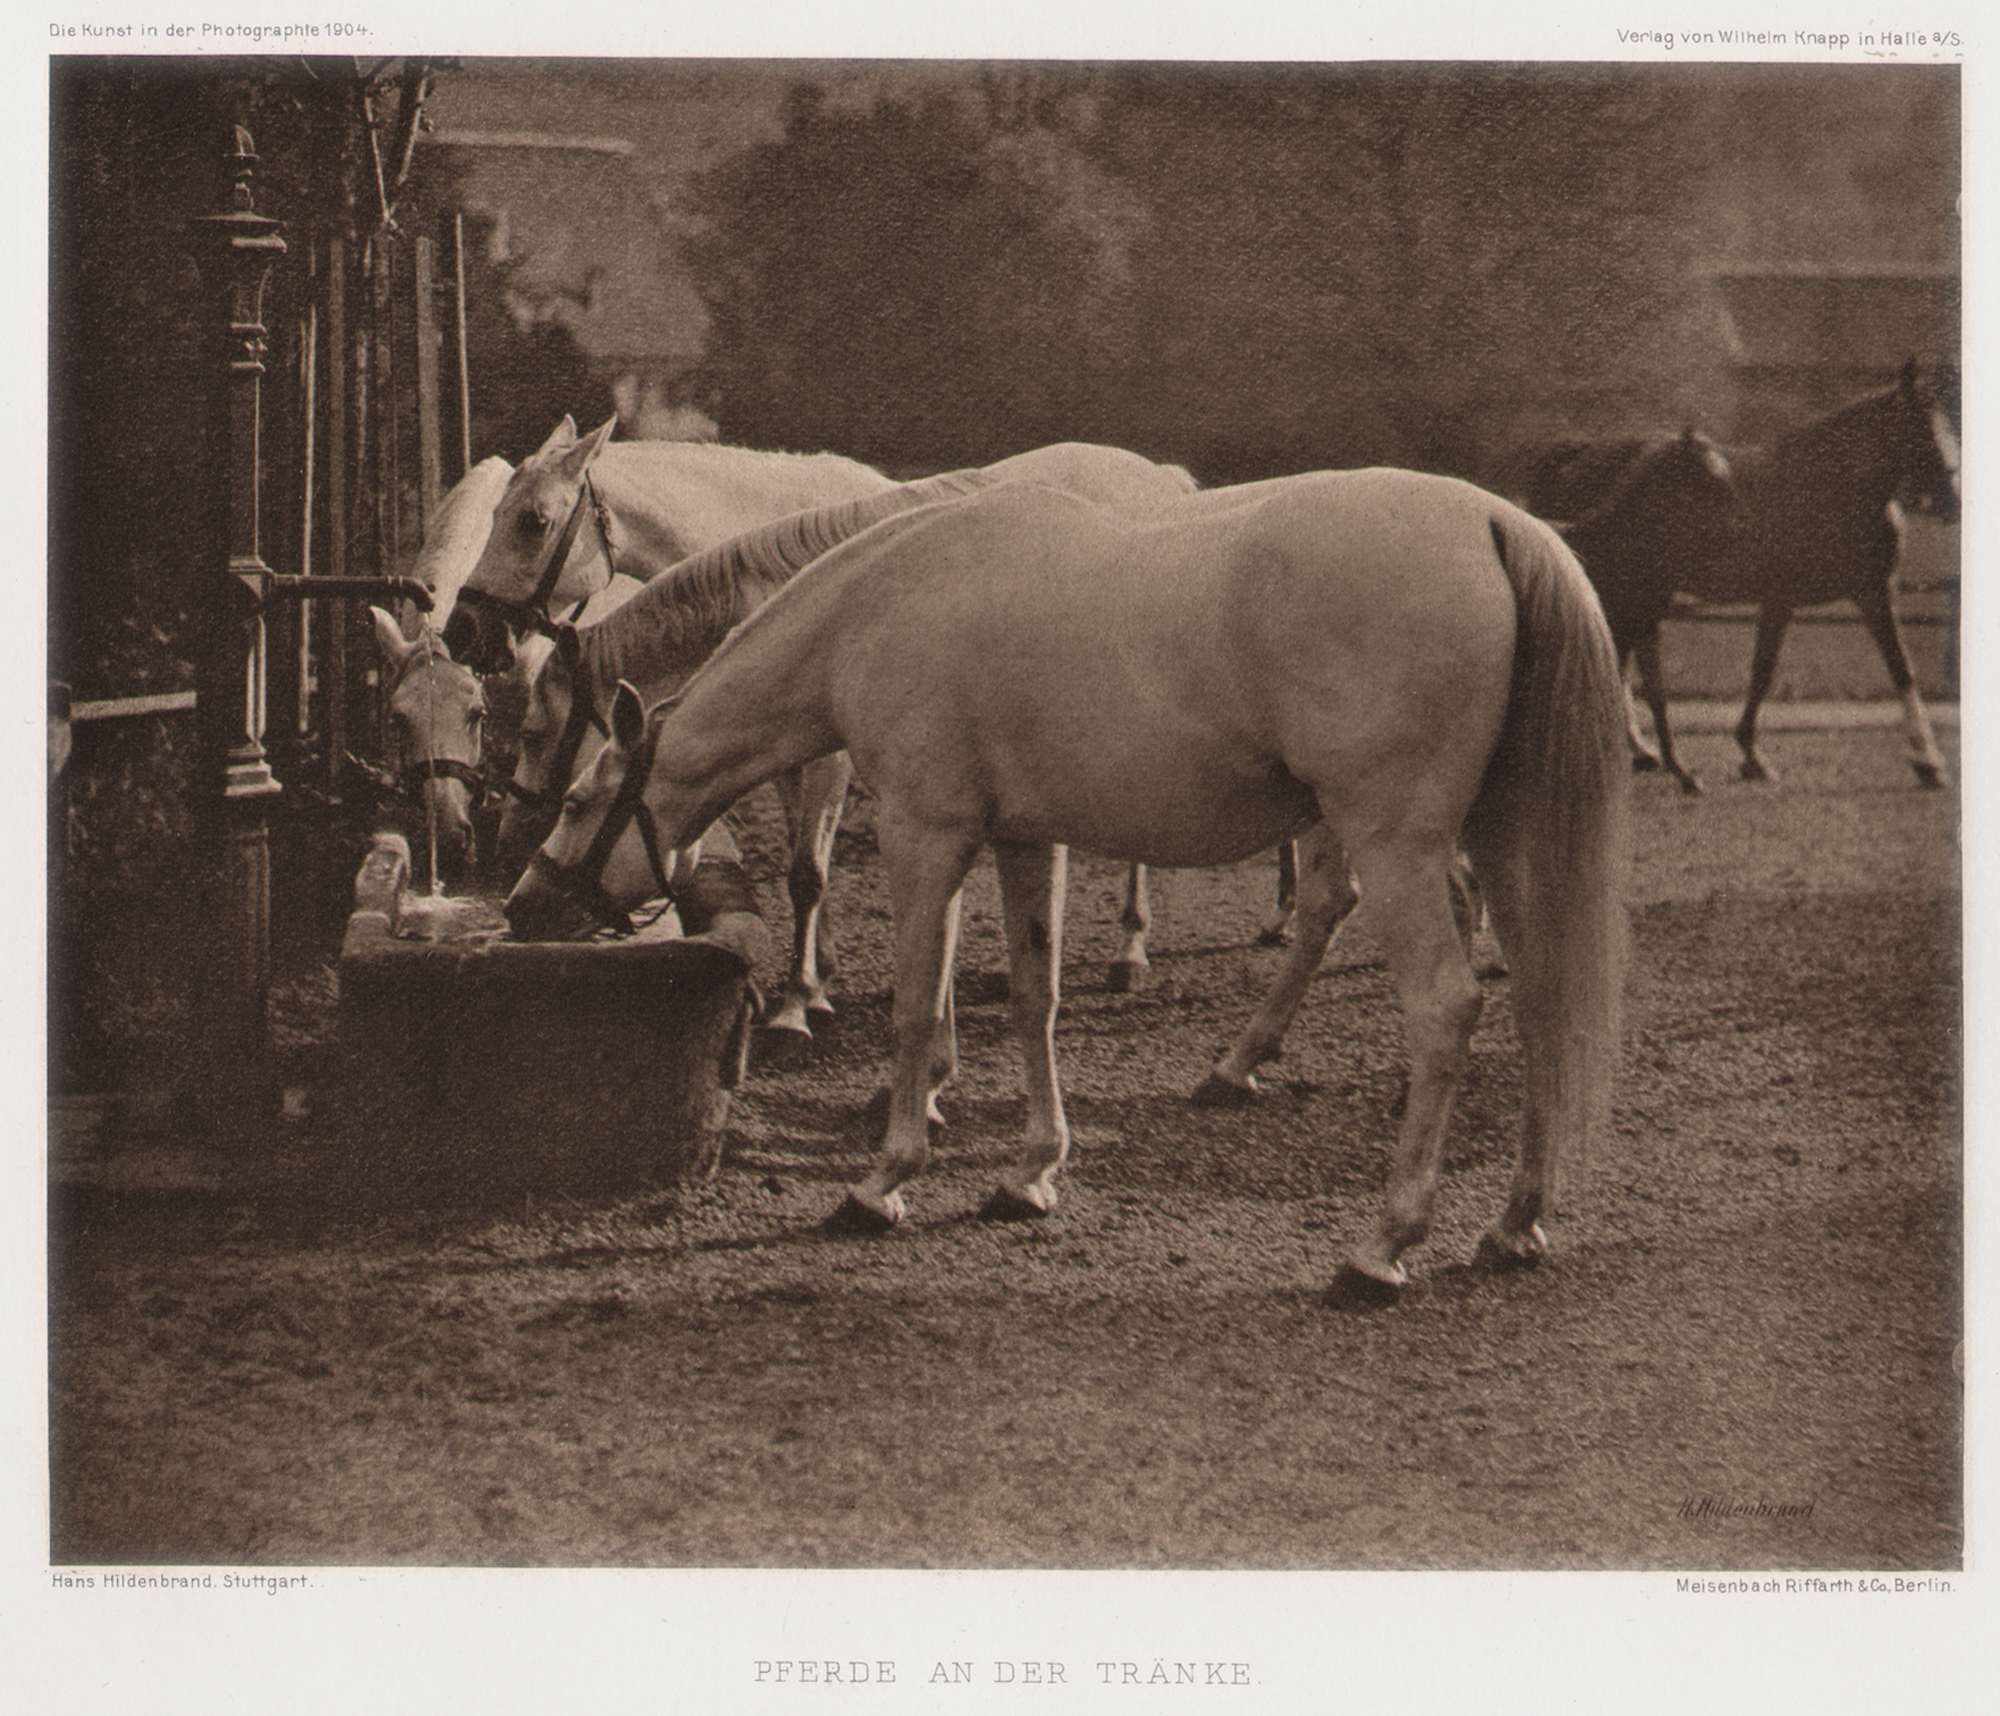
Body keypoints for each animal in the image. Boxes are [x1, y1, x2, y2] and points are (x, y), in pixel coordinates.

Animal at [496, 438, 1216, 1040]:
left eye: (533, 520)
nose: (508, 846)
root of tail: (1163, 479)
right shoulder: (788, 749)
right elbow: (803, 860)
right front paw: (820, 979)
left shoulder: (829, 758)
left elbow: (808, 874)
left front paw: (796, 1003)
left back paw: (1131, 949)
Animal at [1536, 364, 1960, 792]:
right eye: (1921, 427)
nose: (1954, 501)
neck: (1827, 488)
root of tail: (1576, 454)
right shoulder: (1783, 598)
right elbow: (1763, 673)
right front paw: (1751, 755)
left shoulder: (1870, 592)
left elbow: (1899, 669)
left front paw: (1927, 762)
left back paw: (1641, 751)